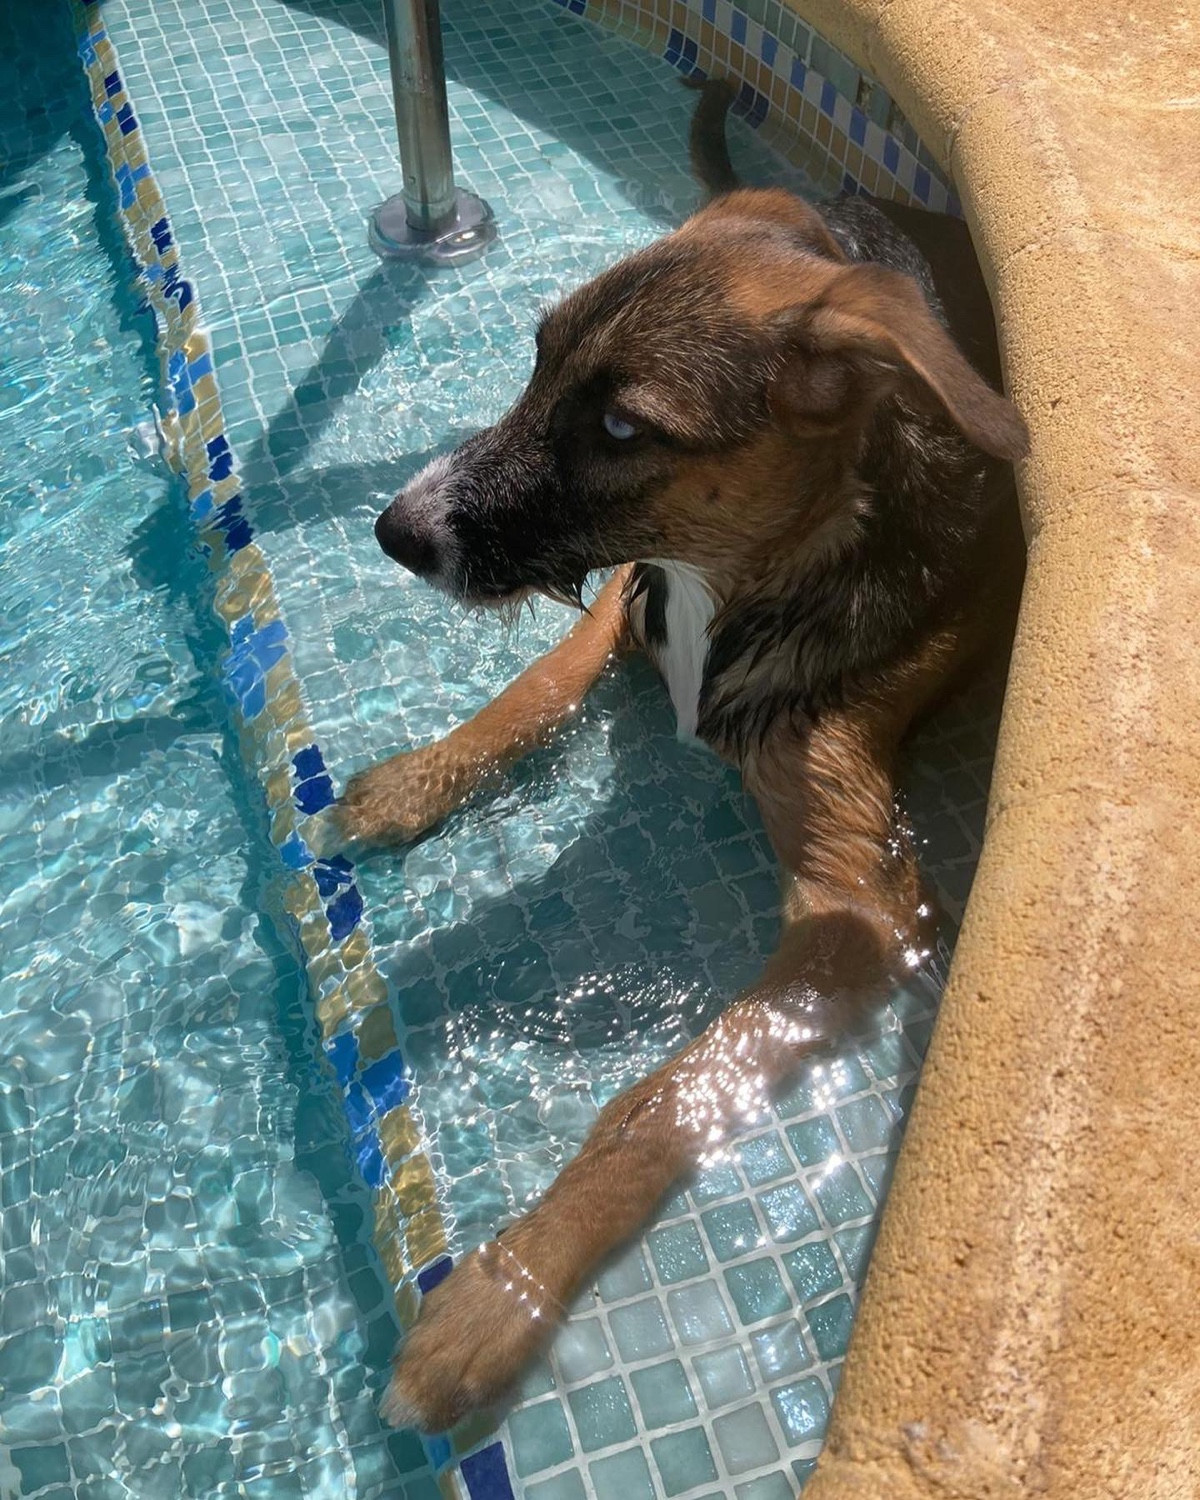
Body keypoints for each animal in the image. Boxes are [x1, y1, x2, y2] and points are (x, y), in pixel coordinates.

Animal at [338, 81, 1028, 1433]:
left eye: (619, 425)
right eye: (536, 357)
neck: (748, 577)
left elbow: (652, 1104)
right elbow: (534, 688)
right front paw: (418, 777)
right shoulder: (635, 592)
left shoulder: (861, 906)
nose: (395, 531)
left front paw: (500, 1296)